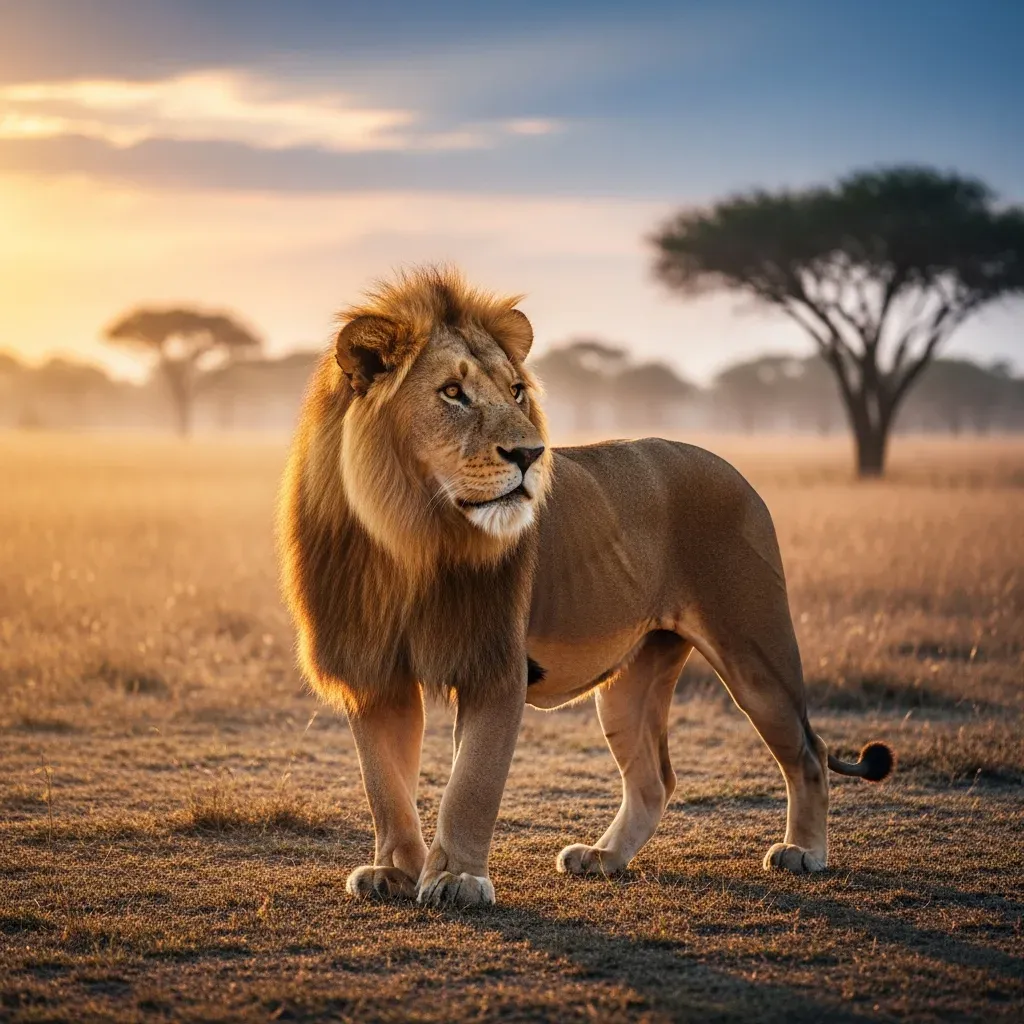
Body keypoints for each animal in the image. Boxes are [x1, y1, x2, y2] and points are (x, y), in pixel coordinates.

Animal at [278, 266, 893, 907]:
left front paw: (457, 878)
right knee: (654, 779)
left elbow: (470, 784)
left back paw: (804, 852)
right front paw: (394, 871)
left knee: (808, 751)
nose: (530, 453)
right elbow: (385, 784)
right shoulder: (372, 670)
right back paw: (603, 858)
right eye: (452, 393)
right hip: (632, 679)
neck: (408, 539)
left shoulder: (494, 665)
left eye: (516, 391)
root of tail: (733, 468)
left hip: (754, 648)